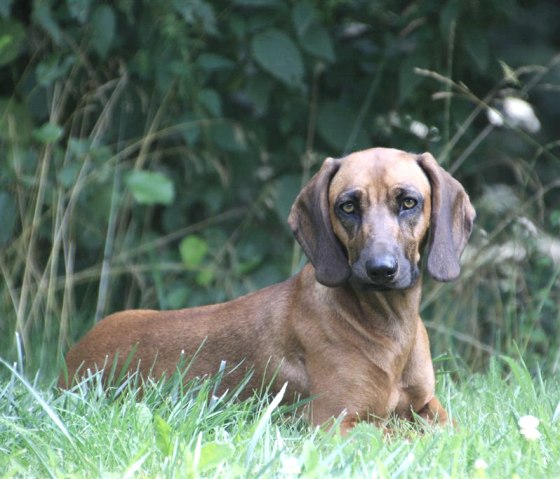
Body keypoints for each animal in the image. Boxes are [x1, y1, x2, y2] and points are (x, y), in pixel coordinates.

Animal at [59, 147, 474, 436]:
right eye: (347, 206)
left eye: (409, 202)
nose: (380, 270)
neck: (390, 327)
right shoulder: (335, 423)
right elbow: (410, 438)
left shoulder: (427, 405)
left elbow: (458, 431)